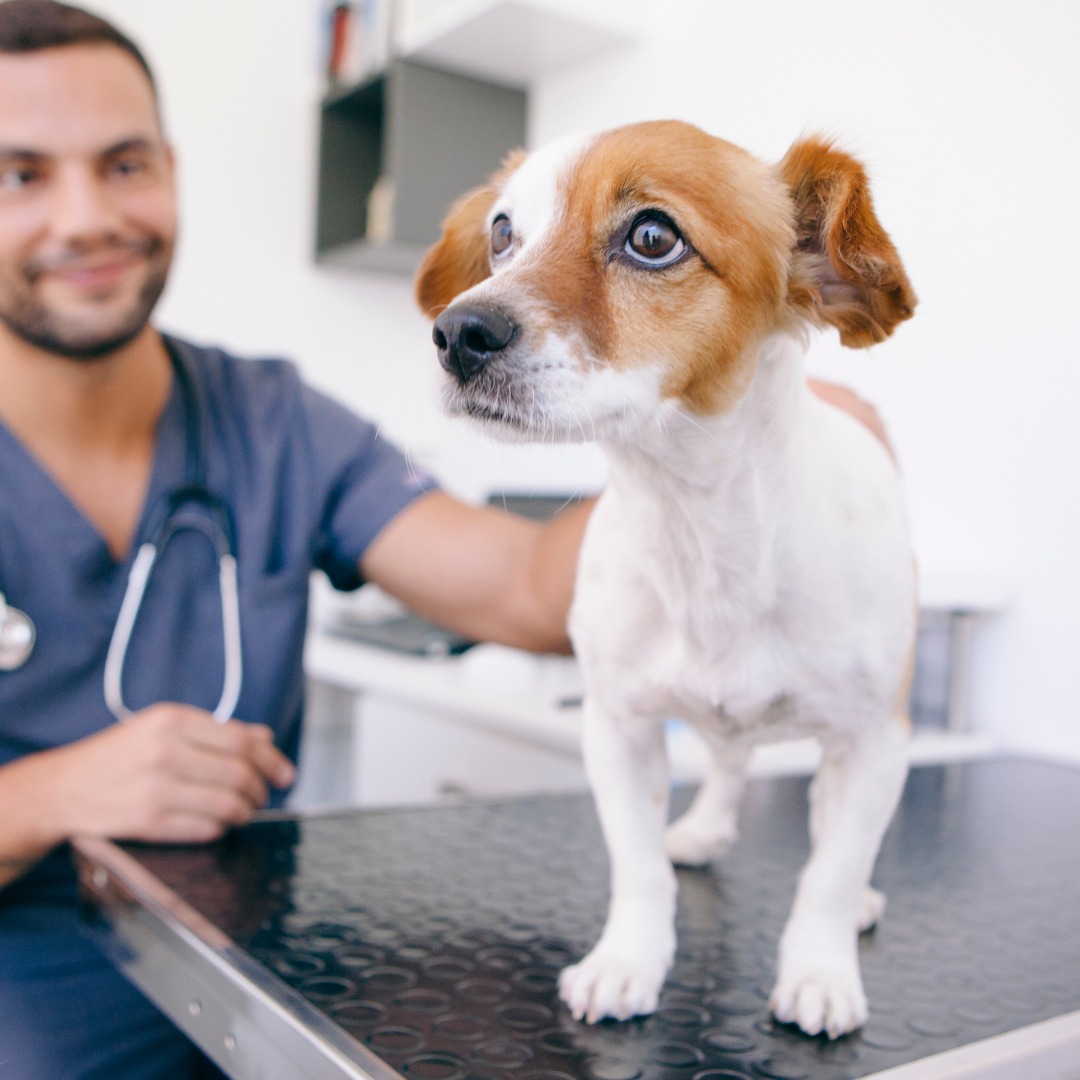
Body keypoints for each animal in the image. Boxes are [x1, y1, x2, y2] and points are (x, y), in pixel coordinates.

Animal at [412, 120, 920, 1036]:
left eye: (653, 237)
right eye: (503, 234)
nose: (456, 331)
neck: (700, 530)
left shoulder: (875, 744)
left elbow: (826, 876)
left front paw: (820, 971)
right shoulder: (618, 728)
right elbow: (637, 866)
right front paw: (628, 963)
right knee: (729, 761)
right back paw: (706, 827)